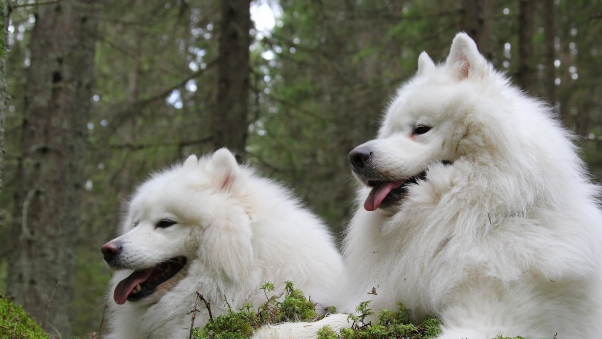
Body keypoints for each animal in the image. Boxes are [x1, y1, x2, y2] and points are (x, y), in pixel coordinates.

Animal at [256, 32, 600, 339]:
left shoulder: (493, 320)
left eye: (420, 129)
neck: (465, 222)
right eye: (389, 131)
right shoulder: (391, 300)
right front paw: (281, 330)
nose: (356, 157)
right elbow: (337, 321)